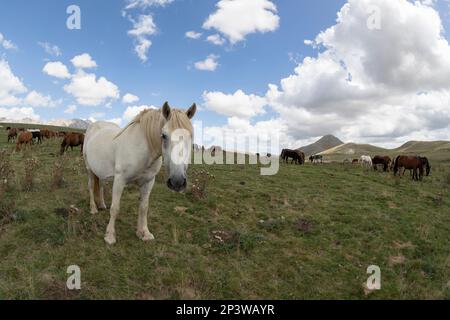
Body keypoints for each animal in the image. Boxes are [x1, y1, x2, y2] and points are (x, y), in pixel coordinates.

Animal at [83, 102, 196, 245]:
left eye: (191, 136)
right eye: (164, 135)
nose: (178, 182)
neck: (143, 149)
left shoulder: (148, 182)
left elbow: (143, 208)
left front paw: (144, 233)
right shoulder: (120, 180)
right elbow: (115, 208)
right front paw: (110, 236)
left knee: (101, 185)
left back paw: (102, 205)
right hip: (89, 169)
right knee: (91, 187)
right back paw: (93, 208)